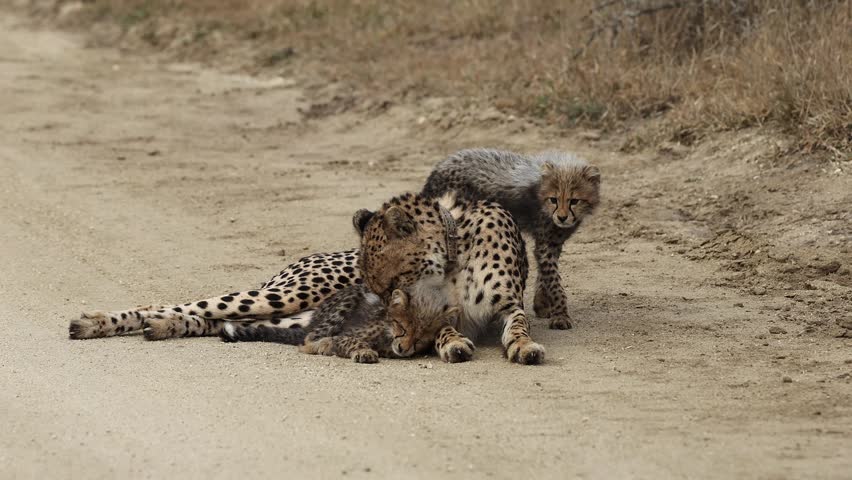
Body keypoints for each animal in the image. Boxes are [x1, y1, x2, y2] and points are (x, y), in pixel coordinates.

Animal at [220, 285, 460, 364]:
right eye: (402, 328)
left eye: (419, 339)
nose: (404, 347)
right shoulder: (346, 334)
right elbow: (349, 341)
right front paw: (363, 351)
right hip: (344, 304)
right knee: (308, 340)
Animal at [421, 148, 601, 330]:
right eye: (554, 199)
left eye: (574, 201)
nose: (562, 217)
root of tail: (439, 167)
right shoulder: (546, 243)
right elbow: (554, 281)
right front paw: (560, 315)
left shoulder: (551, 243)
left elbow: (544, 274)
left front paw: (542, 305)